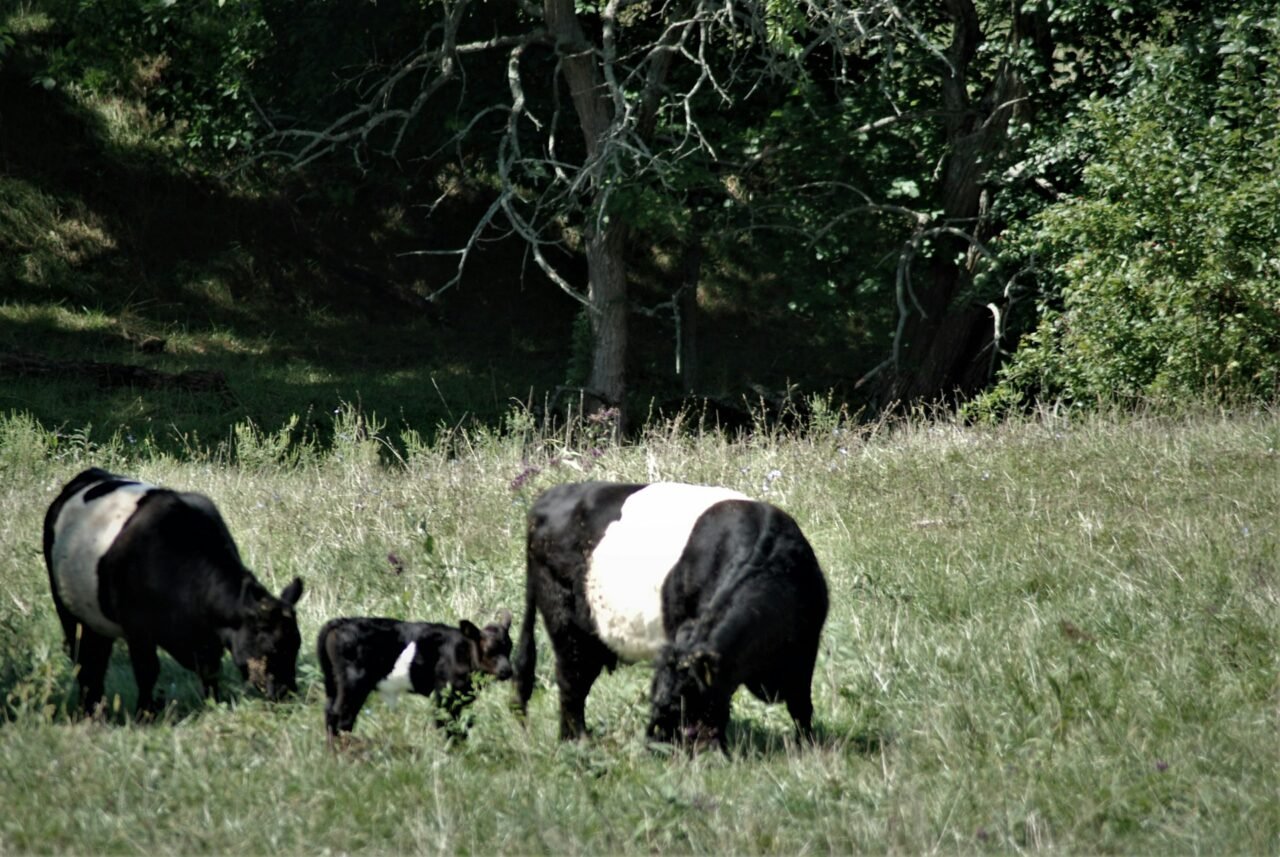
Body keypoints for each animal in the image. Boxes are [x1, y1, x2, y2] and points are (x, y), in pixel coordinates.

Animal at [43, 467, 305, 715]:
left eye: (297, 644)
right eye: (272, 648)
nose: (287, 692)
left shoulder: (207, 640)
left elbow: (210, 672)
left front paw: (214, 705)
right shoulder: (137, 628)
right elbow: (147, 671)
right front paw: (145, 714)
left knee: (96, 657)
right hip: (66, 608)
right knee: (84, 661)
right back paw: (90, 710)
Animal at [316, 611, 514, 743]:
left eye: (510, 647)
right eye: (489, 650)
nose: (507, 671)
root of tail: (340, 622)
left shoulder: (463, 697)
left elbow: (463, 725)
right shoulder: (443, 694)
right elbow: (446, 723)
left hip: (333, 682)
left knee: (330, 712)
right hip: (354, 683)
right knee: (342, 716)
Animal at [515, 481, 828, 751]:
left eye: (686, 702)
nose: (656, 745)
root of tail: (548, 498)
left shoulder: (806, 646)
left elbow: (801, 705)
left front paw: (808, 746)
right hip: (567, 622)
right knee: (572, 680)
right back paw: (576, 740)